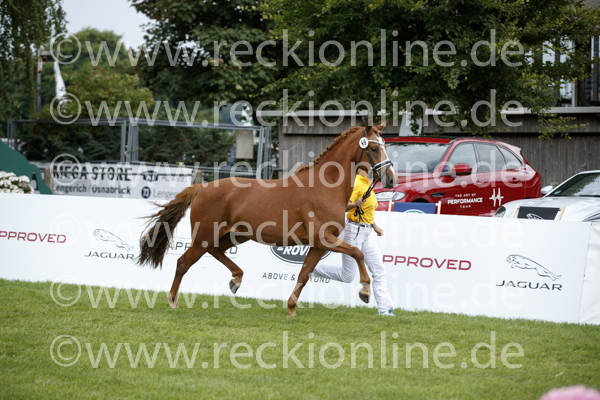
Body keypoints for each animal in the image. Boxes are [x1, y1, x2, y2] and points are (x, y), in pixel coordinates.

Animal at [137, 122, 397, 317]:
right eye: (374, 149)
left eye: (384, 146)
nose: (391, 179)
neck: (324, 187)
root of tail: (202, 187)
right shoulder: (325, 239)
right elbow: (358, 252)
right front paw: (365, 291)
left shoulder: (318, 244)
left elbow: (304, 274)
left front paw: (291, 309)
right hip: (204, 236)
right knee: (183, 262)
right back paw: (173, 301)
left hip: (235, 236)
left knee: (216, 252)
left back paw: (236, 279)